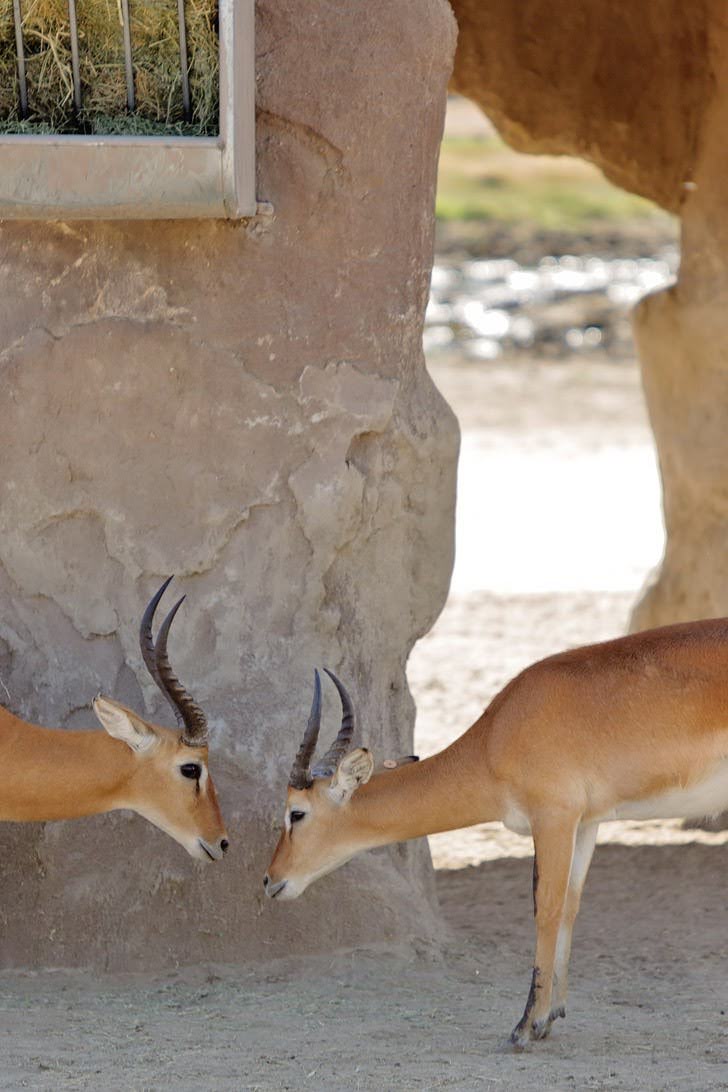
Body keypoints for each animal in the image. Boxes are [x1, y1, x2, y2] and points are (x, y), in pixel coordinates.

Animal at [267, 633, 728, 1048]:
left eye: (296, 812)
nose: (270, 881)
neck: (497, 736)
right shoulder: (586, 823)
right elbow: (570, 906)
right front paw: (548, 1019)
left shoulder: (553, 817)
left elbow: (546, 909)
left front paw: (525, 1027)